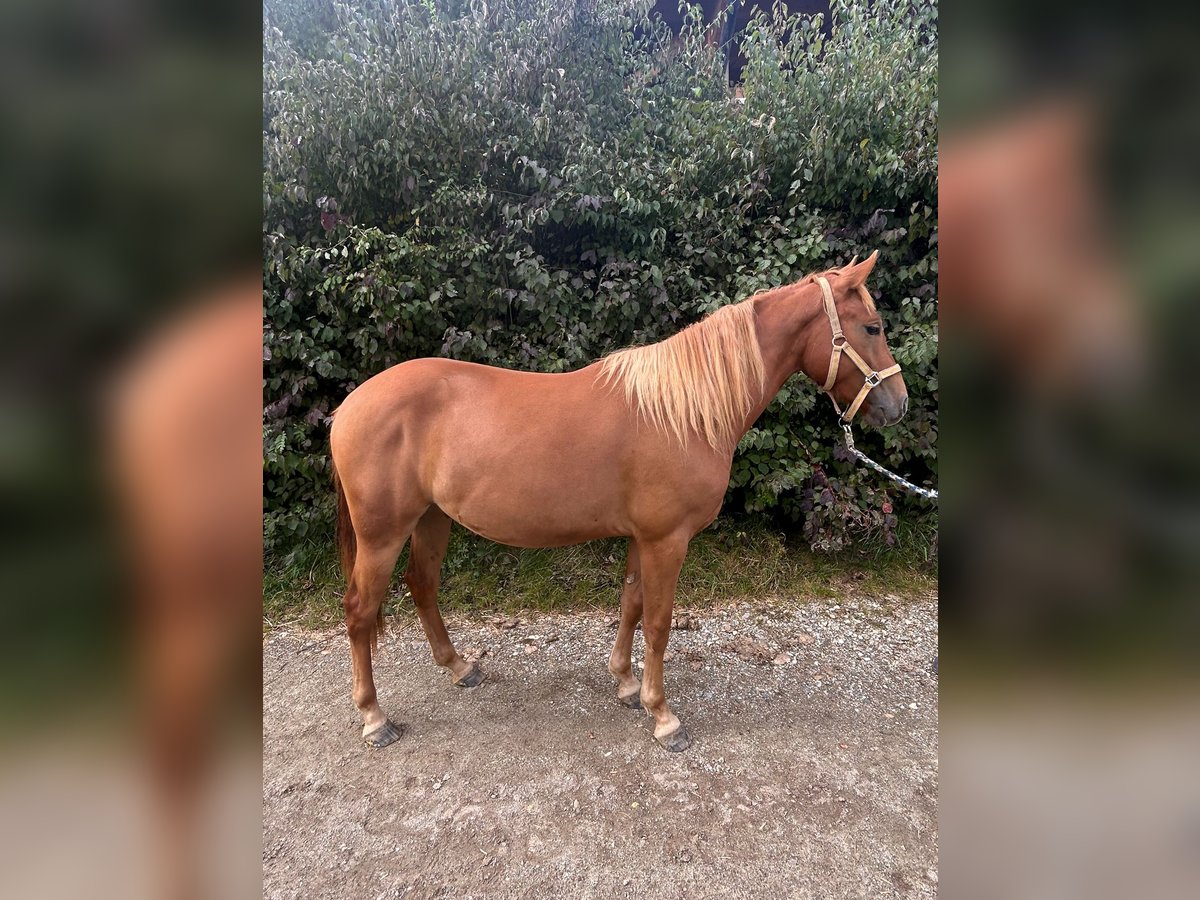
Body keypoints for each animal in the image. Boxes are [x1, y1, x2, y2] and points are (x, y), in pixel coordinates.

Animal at [328, 250, 907, 748]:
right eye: (872, 327)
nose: (897, 405)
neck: (682, 411)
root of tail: (349, 406)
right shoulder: (667, 540)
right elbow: (659, 621)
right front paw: (664, 716)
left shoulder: (642, 537)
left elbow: (631, 605)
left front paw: (627, 685)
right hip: (382, 534)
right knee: (360, 611)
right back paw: (374, 717)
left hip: (431, 519)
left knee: (422, 586)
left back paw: (460, 668)